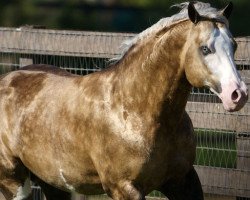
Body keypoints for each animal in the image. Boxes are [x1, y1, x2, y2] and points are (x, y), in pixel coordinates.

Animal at [0, 1, 248, 200]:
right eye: (205, 48)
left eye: (234, 45)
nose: (237, 94)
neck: (135, 110)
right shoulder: (124, 188)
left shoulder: (183, 181)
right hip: (13, 182)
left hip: (53, 184)